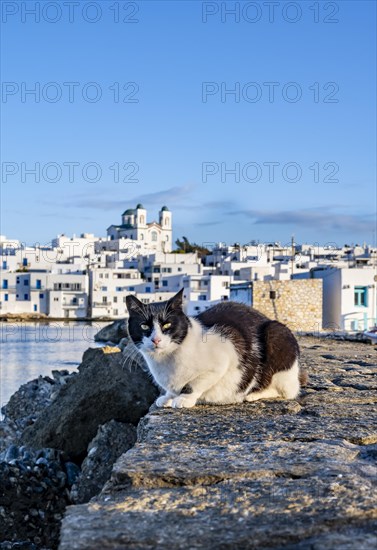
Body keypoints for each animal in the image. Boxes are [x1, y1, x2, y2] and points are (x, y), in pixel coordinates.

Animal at [126, 288, 302, 410]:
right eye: (144, 326)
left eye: (167, 325)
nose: (156, 339)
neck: (166, 361)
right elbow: (172, 390)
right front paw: (168, 397)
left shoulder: (225, 355)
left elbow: (195, 383)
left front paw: (184, 398)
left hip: (276, 334)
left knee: (287, 391)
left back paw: (254, 394)